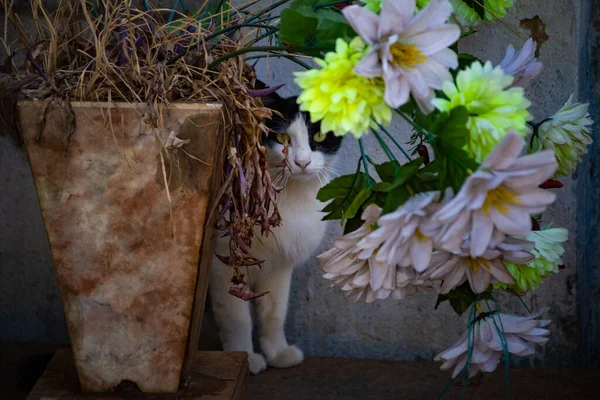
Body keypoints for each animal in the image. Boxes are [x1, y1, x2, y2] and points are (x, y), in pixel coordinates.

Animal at [209, 89, 342, 374]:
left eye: (318, 137)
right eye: (282, 138)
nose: (302, 162)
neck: (290, 196)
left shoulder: (279, 266)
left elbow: (275, 313)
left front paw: (278, 352)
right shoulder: (224, 267)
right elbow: (237, 318)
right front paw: (244, 357)